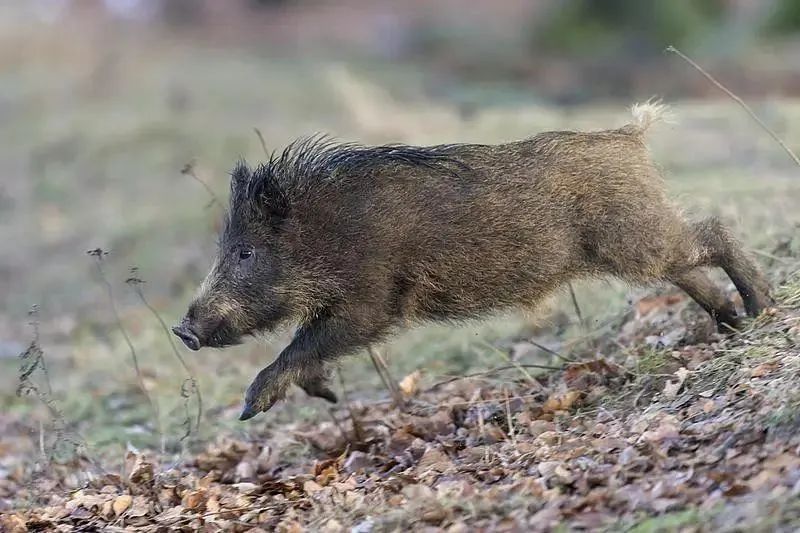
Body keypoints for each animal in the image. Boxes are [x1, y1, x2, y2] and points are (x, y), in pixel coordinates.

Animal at [172, 102, 771, 420]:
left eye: (245, 251)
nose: (183, 330)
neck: (326, 233)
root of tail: (630, 135)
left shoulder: (371, 301)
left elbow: (303, 344)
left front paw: (250, 408)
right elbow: (309, 348)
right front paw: (327, 395)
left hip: (635, 237)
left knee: (713, 232)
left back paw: (760, 309)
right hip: (638, 240)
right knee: (690, 269)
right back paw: (731, 324)